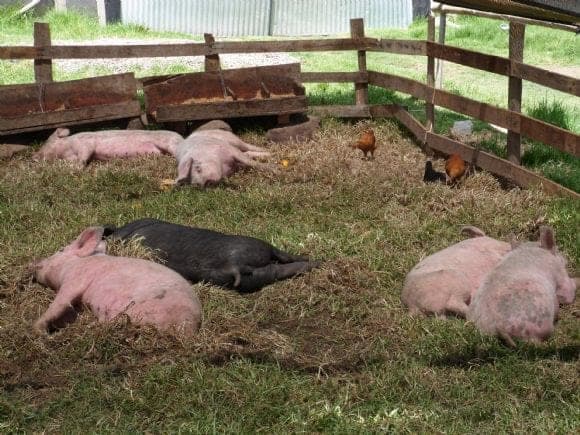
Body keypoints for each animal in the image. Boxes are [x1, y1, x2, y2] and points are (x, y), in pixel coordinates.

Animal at [32, 226, 202, 335]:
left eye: (60, 250)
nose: (35, 262)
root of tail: (189, 329)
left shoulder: (75, 279)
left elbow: (59, 303)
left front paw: (36, 329)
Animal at [33, 128, 183, 166]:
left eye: (47, 141)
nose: (33, 156)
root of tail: (181, 137)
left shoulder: (86, 144)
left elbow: (84, 156)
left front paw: (75, 168)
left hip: (169, 142)